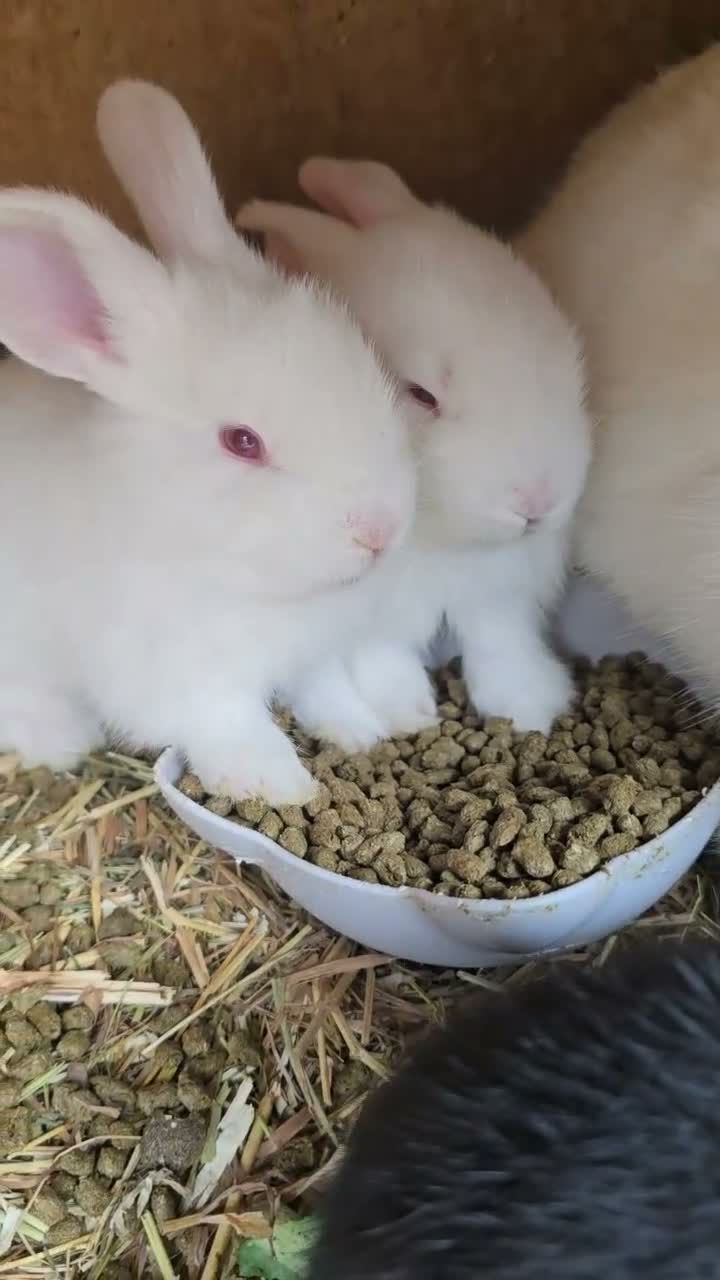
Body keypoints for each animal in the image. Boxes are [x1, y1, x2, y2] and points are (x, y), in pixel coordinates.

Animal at [0, 81, 416, 805]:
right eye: (242, 441)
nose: (380, 530)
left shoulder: (313, 656)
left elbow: (325, 690)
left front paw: (358, 733)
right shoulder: (180, 678)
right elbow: (231, 723)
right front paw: (281, 784)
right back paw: (59, 737)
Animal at [237, 159, 591, 746]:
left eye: (565, 352)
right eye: (421, 394)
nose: (538, 502)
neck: (440, 542)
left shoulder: (498, 594)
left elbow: (501, 641)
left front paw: (533, 708)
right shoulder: (369, 615)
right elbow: (385, 655)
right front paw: (407, 714)